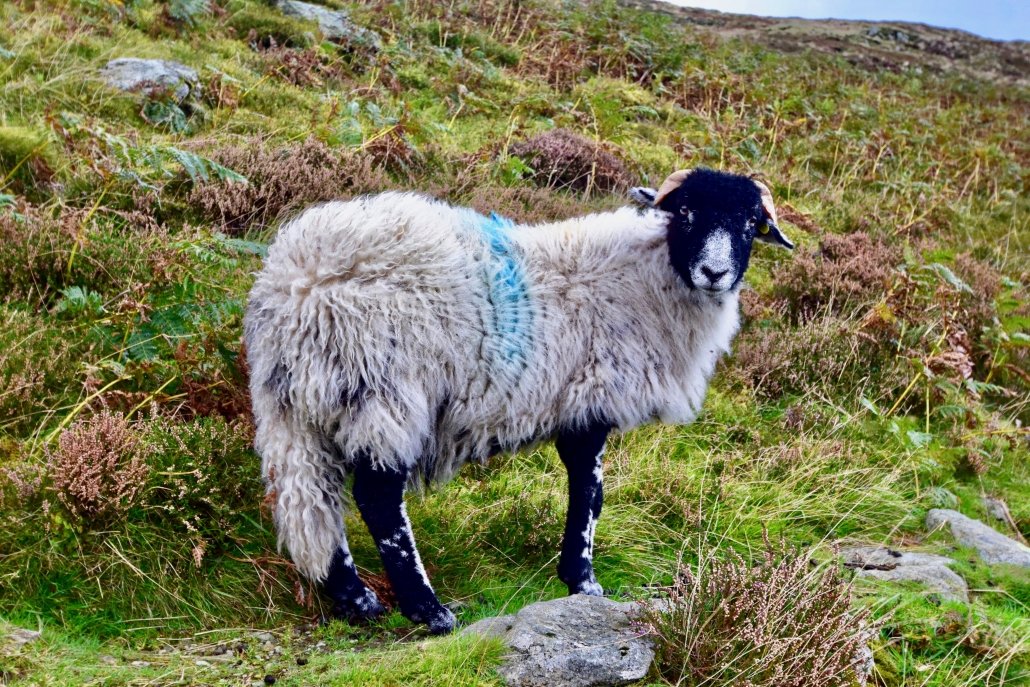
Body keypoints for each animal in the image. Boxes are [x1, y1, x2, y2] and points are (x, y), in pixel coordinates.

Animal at [245, 164, 791, 634]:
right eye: (687, 213)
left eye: (751, 224)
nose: (714, 272)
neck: (646, 277)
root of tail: (296, 287)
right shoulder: (589, 397)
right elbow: (590, 494)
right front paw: (584, 582)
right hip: (384, 391)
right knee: (377, 500)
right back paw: (429, 610)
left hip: (294, 409)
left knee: (311, 500)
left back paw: (355, 601)